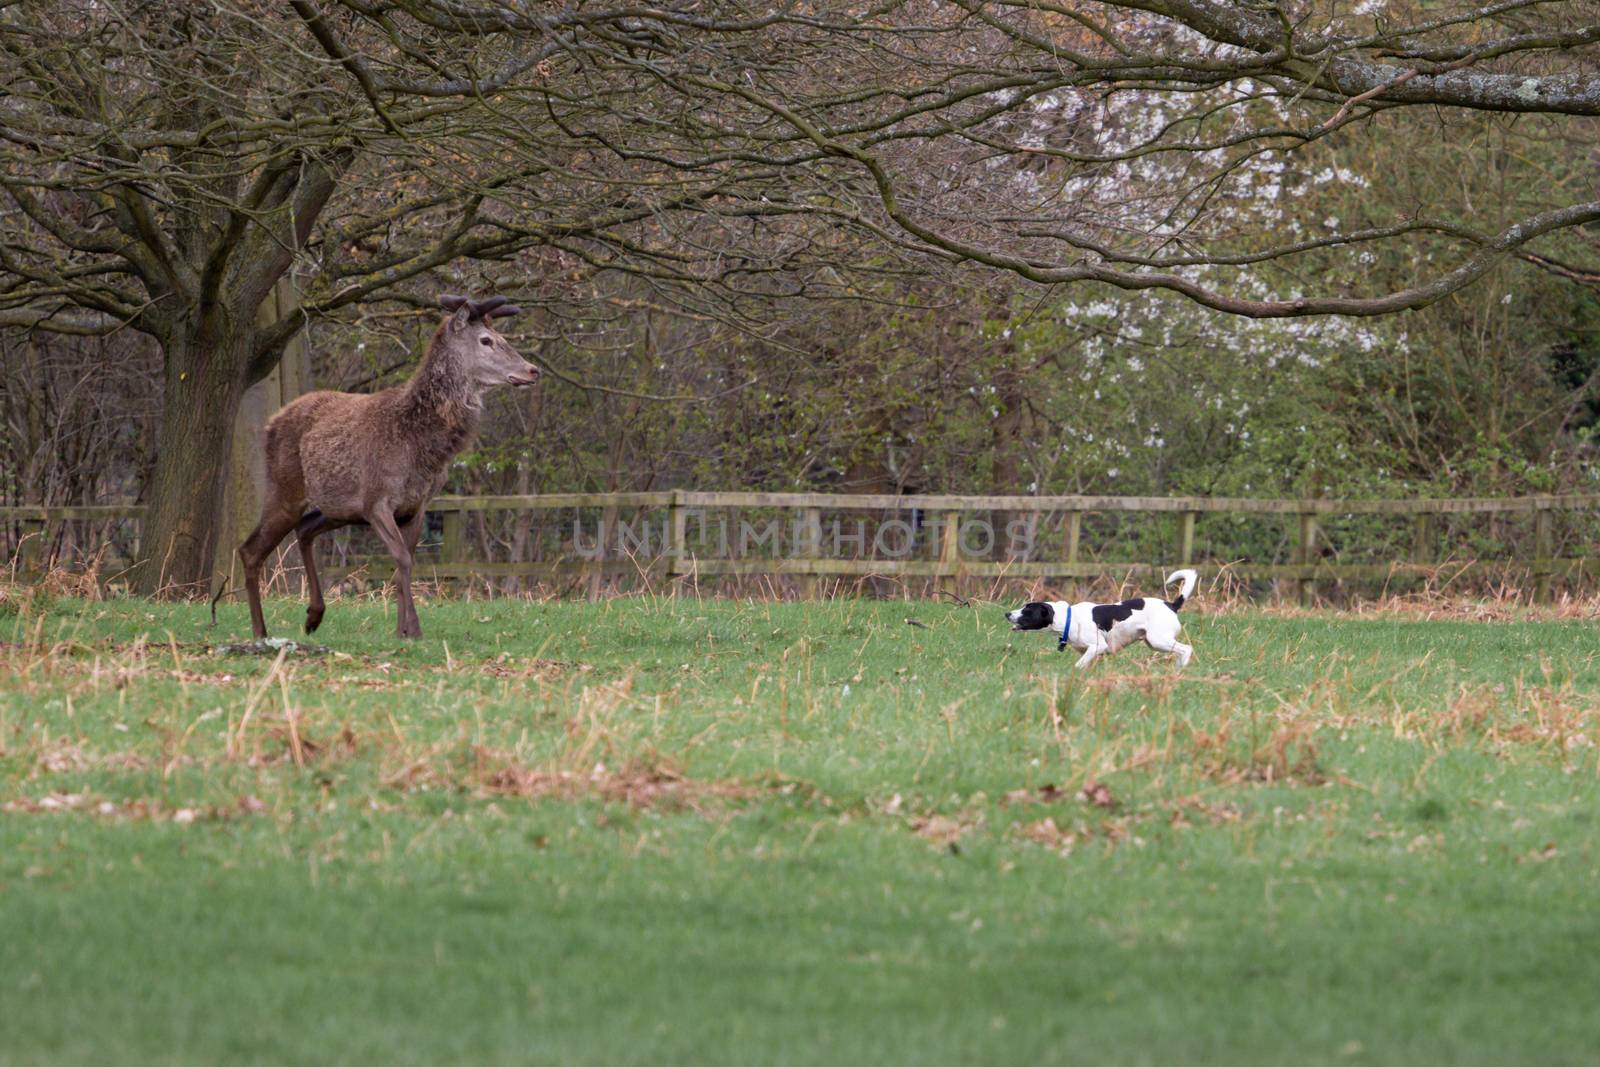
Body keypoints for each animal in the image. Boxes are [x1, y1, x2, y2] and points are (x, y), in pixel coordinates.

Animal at [233, 295, 537, 639]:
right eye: (486, 340)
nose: (532, 370)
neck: (423, 449)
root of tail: (270, 424)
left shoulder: (416, 505)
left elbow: (405, 561)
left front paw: (401, 630)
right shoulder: (376, 500)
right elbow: (402, 558)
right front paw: (413, 628)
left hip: (338, 508)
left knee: (305, 528)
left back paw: (313, 615)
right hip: (285, 489)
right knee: (249, 549)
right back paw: (261, 631)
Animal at [1004, 572, 1196, 671]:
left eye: (1027, 610)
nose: (1007, 614)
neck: (1069, 619)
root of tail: (1172, 605)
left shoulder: (1097, 646)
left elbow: (1078, 665)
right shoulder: (1089, 652)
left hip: (1158, 640)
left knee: (1186, 649)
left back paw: (1180, 669)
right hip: (1154, 643)